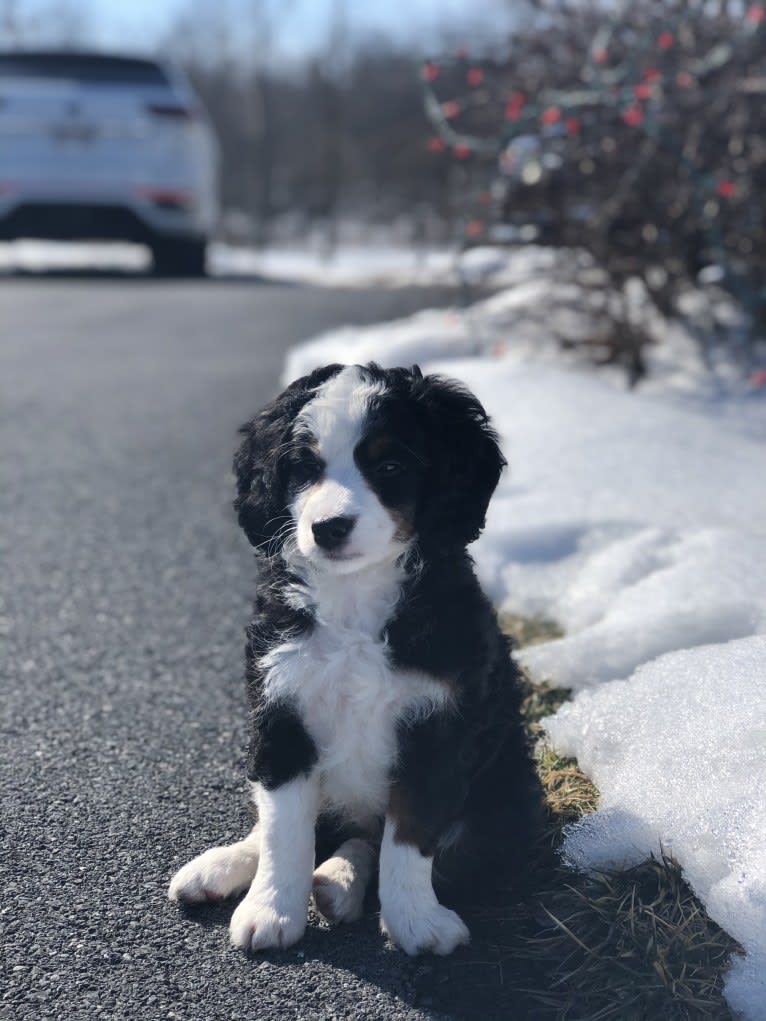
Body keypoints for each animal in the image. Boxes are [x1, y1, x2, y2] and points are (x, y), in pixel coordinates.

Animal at [170, 363, 543, 951]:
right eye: (303, 469)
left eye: (389, 466)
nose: (328, 527)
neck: (354, 600)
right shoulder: (281, 712)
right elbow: (284, 830)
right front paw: (270, 911)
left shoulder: (439, 724)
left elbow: (410, 835)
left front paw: (416, 923)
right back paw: (222, 868)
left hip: (502, 802)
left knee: (395, 843)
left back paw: (338, 884)